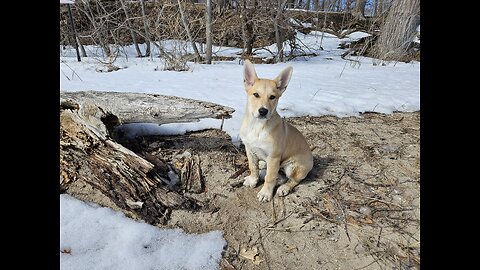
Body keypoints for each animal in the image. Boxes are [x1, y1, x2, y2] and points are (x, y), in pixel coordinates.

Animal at [239, 60, 314, 201]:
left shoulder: (274, 157)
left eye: (272, 97)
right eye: (255, 94)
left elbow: (269, 177)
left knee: (293, 180)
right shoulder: (249, 149)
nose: (263, 111)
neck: (257, 126)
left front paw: (265, 193)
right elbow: (253, 167)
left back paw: (283, 188)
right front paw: (253, 180)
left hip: (293, 166)